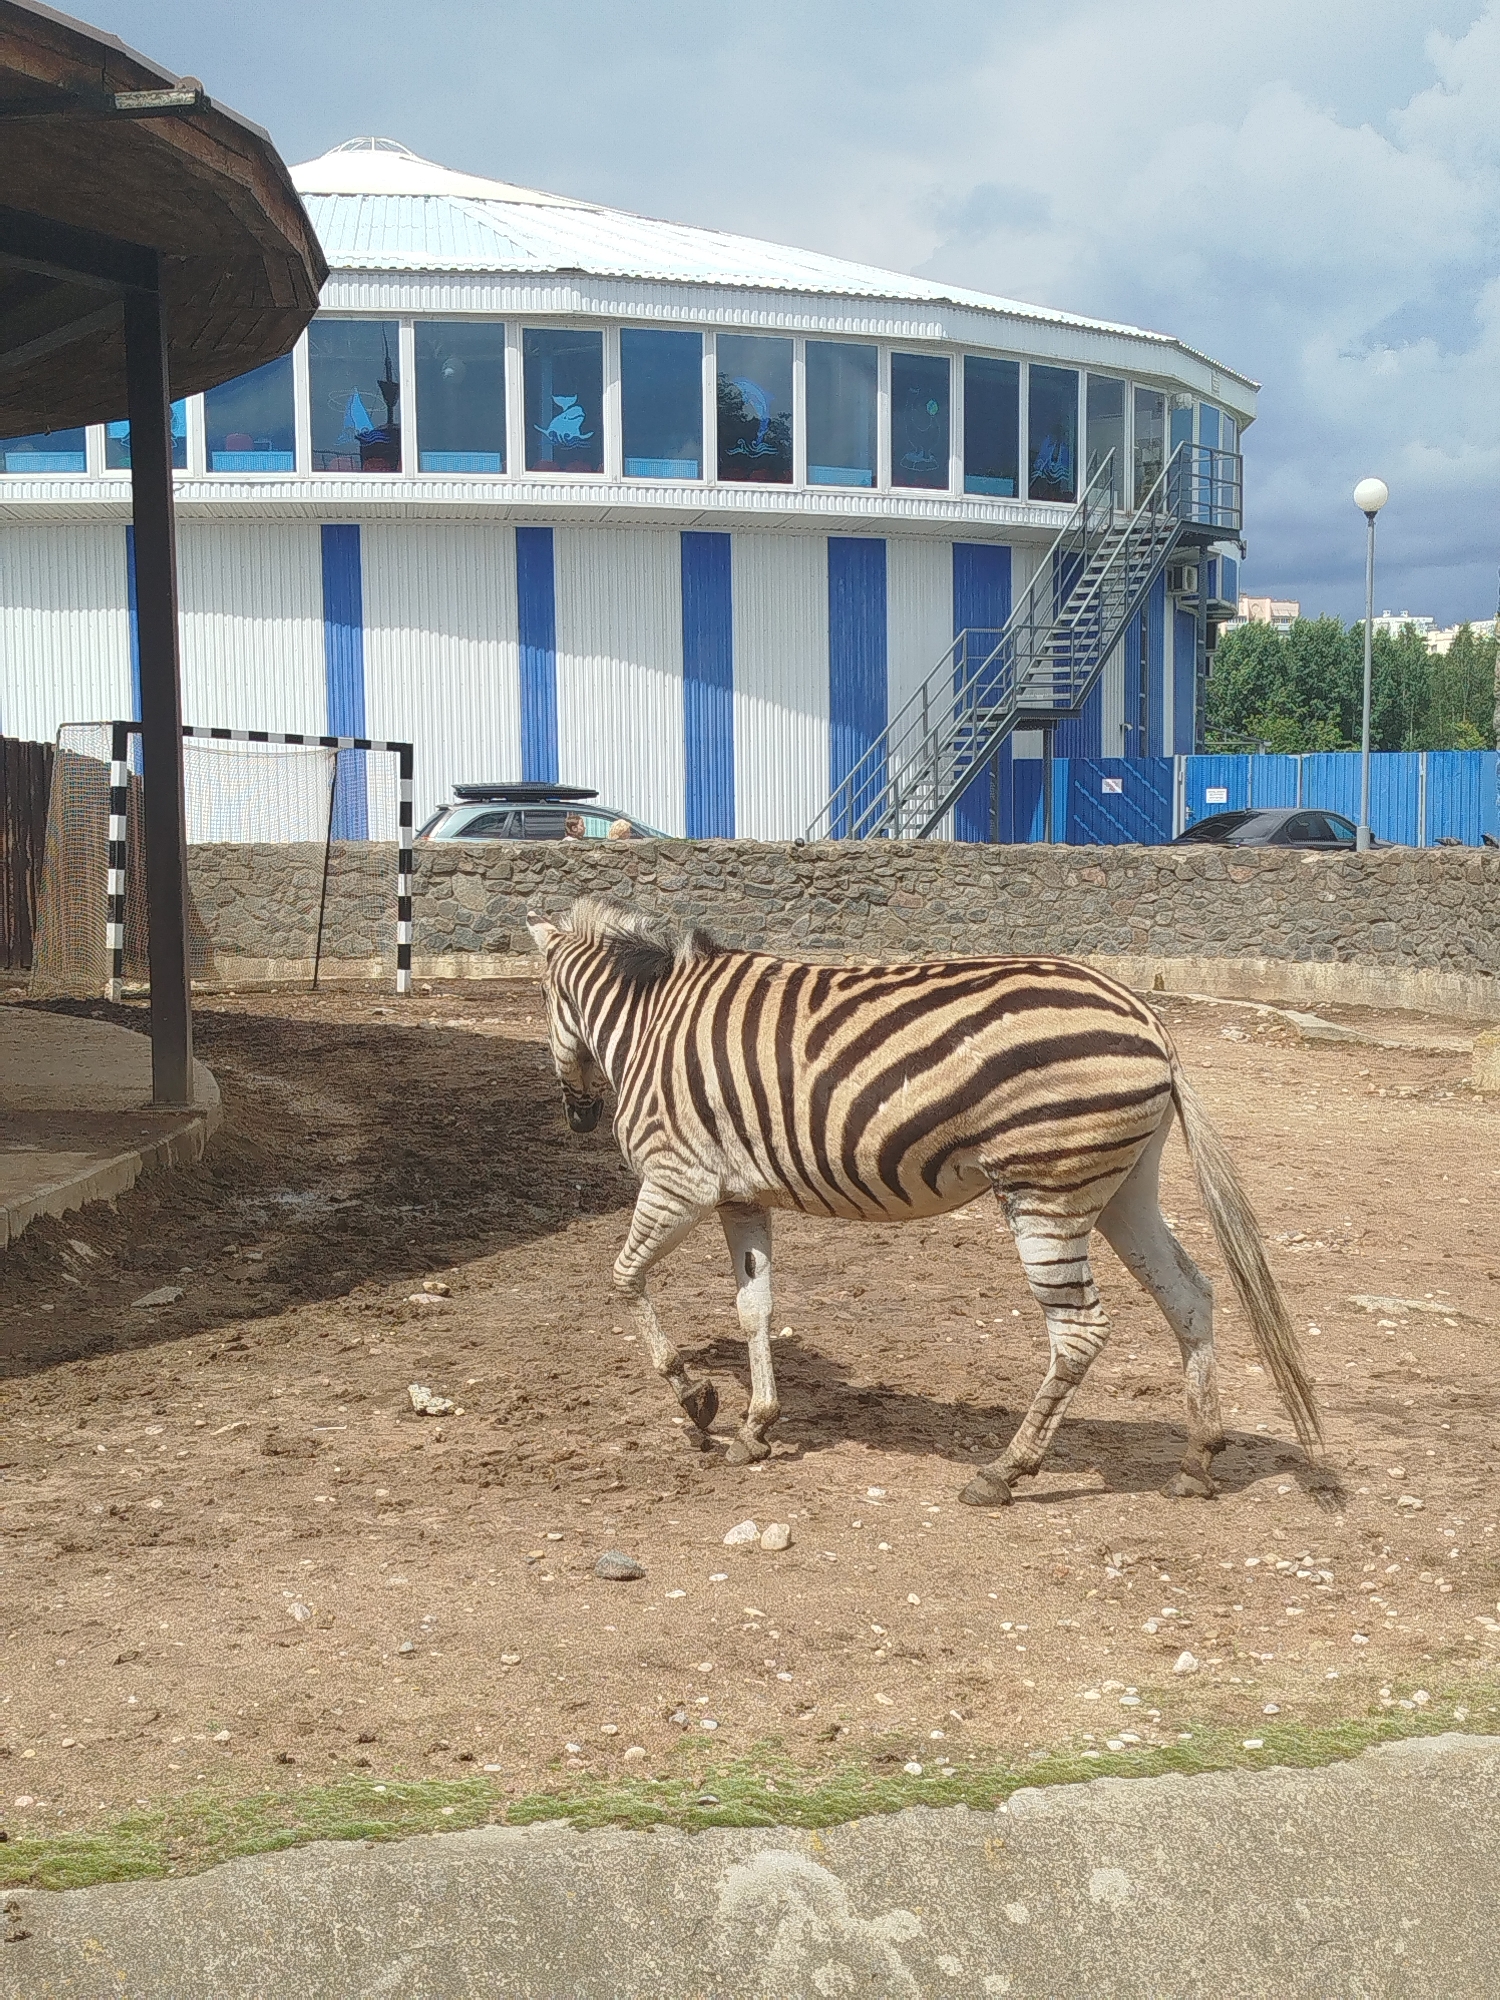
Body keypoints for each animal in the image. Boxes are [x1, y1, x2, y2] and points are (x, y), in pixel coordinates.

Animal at [527, 897, 1321, 1505]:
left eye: (544, 1003)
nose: (578, 1119)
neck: (646, 1018)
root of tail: (1151, 1022)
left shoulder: (678, 1181)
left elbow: (625, 1279)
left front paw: (695, 1403)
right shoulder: (738, 1196)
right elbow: (755, 1308)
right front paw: (755, 1426)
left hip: (1046, 1188)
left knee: (1079, 1331)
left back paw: (1005, 1472)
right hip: (1126, 1187)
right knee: (1190, 1295)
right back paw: (1198, 1460)